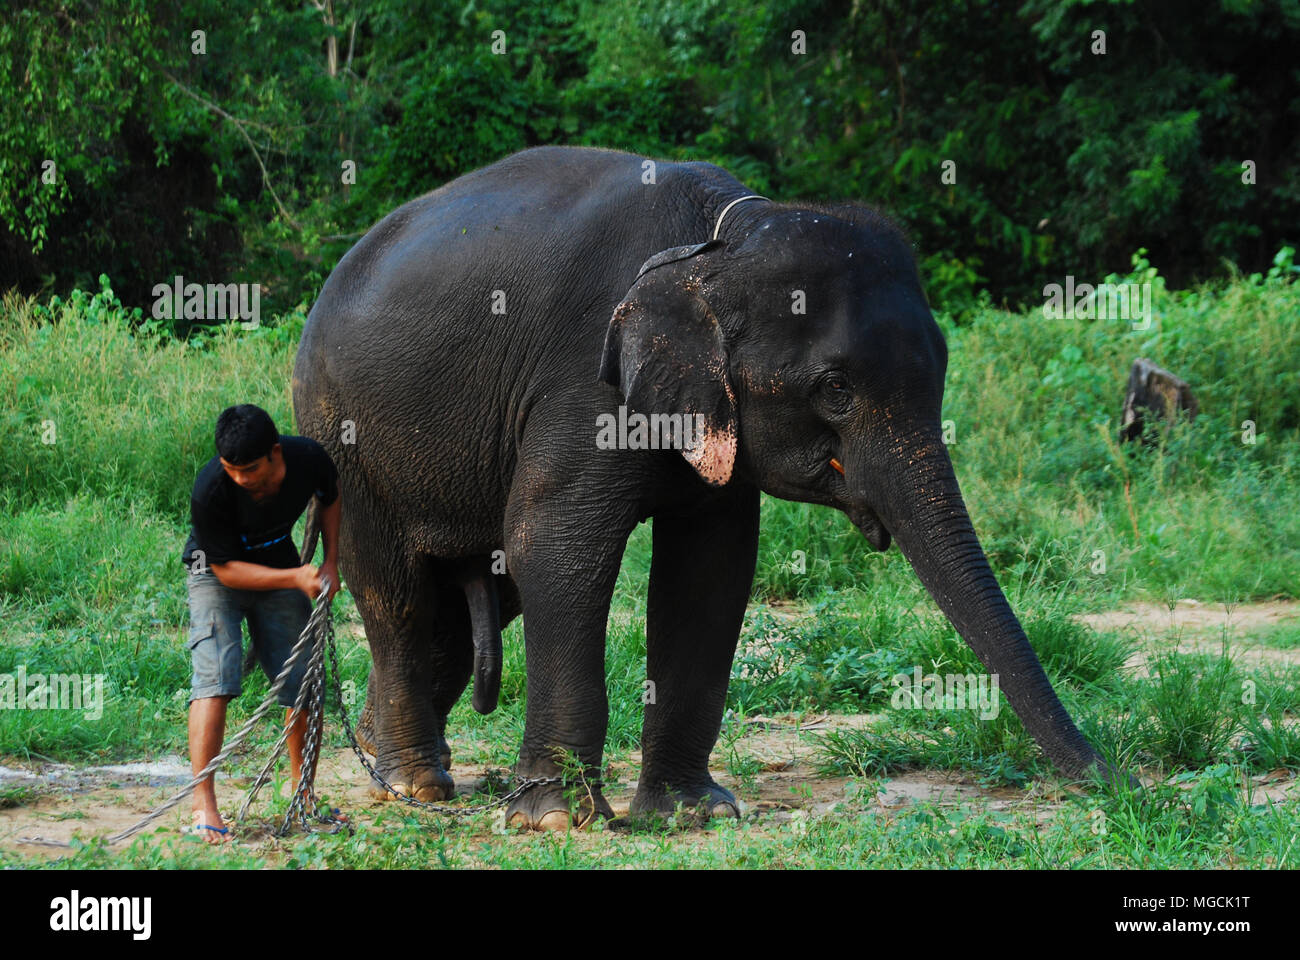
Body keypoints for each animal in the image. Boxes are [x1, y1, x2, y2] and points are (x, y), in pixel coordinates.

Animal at [295, 143, 1128, 832]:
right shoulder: (585, 378)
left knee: (471, 604)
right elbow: (559, 549)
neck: (724, 241)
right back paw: (415, 786)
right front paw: (557, 820)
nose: (1115, 780)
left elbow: (710, 568)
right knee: (399, 593)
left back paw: (383, 759)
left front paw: (693, 813)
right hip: (341, 431)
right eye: (835, 390)